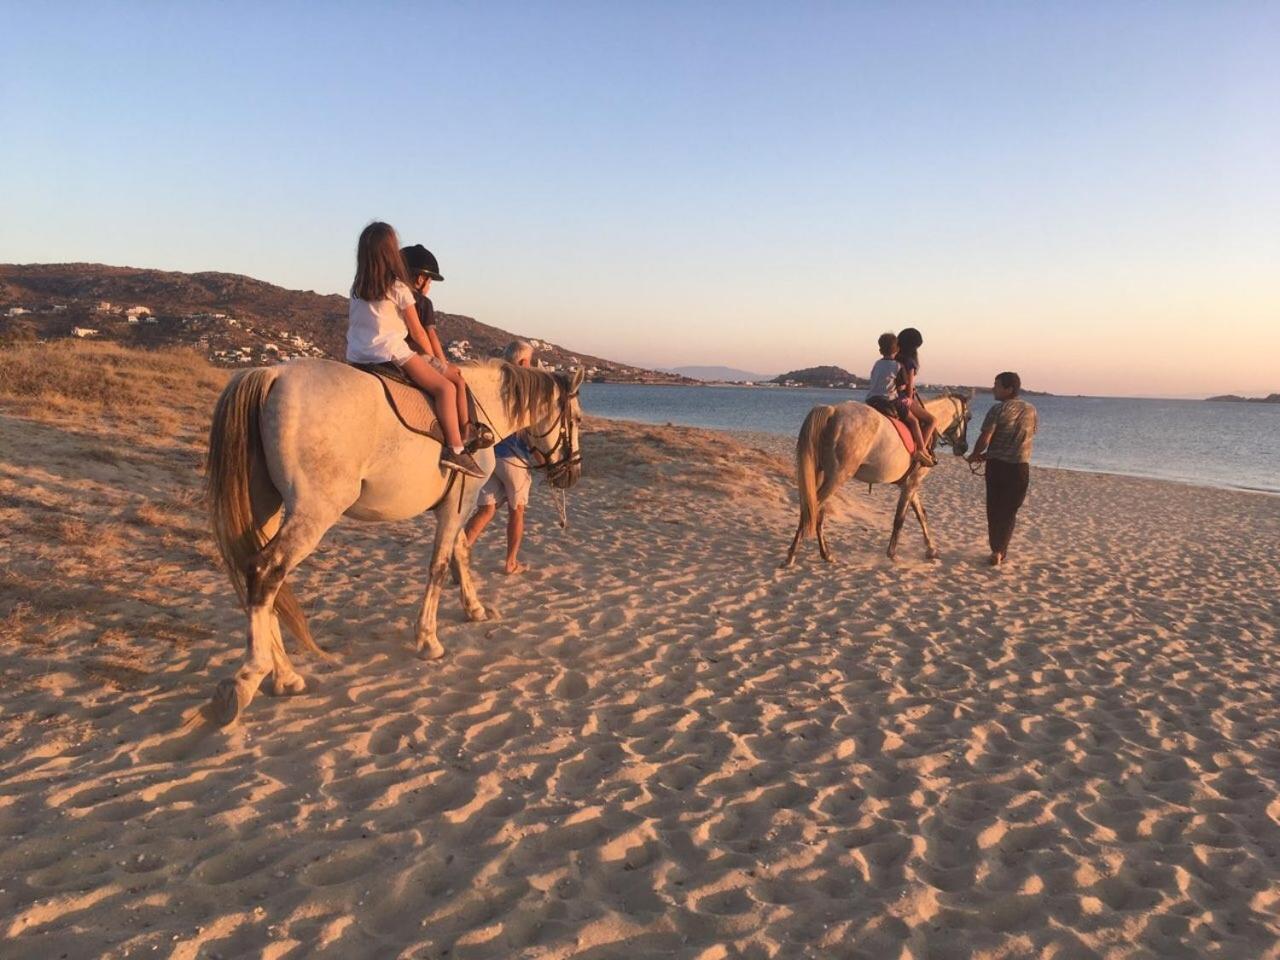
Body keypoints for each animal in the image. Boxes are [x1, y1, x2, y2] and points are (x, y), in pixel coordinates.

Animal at [206, 358, 586, 727]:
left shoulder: (456, 505)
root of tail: (273, 373)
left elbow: (460, 553)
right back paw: (254, 675)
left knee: (264, 579)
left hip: (266, 509)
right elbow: (440, 565)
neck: (480, 405)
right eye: (578, 419)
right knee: (266, 571)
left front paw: (474, 609)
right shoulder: (460, 502)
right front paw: (428, 638)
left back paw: (284, 675)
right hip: (314, 512)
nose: (573, 474)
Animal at [778, 394, 967, 568]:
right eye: (969, 417)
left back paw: (825, 554)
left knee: (816, 509)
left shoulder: (909, 484)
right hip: (838, 477)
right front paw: (892, 554)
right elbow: (900, 519)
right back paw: (793, 555)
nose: (964, 447)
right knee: (812, 508)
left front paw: (931, 549)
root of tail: (833, 411)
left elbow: (921, 515)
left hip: (824, 476)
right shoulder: (912, 483)